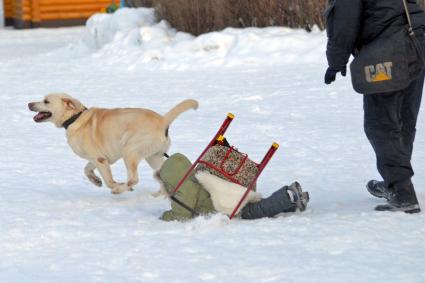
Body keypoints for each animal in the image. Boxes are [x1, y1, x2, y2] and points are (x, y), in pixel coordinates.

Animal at [29, 93, 198, 195]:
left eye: (46, 101)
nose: (29, 104)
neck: (74, 118)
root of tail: (163, 121)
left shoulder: (100, 160)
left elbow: (109, 182)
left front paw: (117, 186)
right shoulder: (99, 158)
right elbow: (87, 170)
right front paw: (96, 181)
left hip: (130, 151)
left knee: (133, 179)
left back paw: (122, 189)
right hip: (153, 157)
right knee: (161, 176)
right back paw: (159, 195)